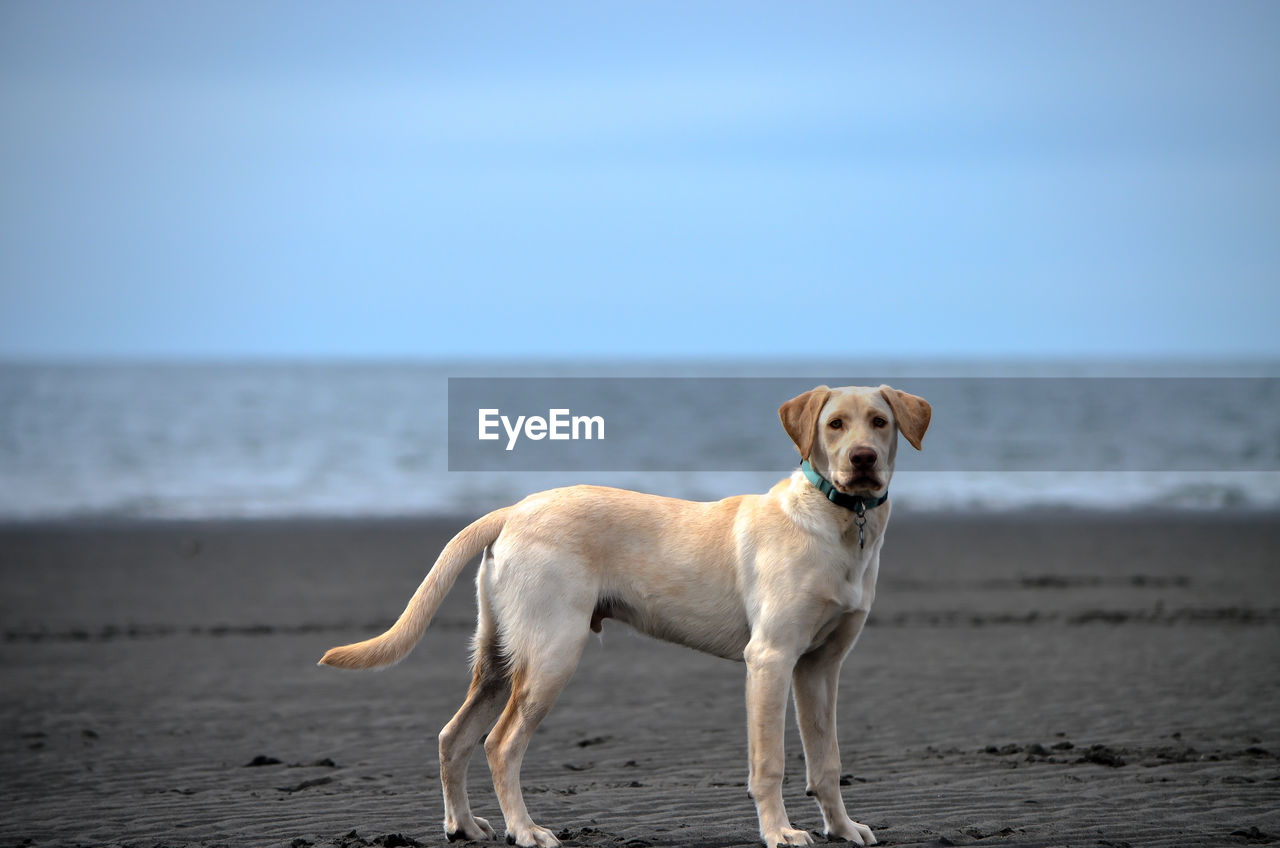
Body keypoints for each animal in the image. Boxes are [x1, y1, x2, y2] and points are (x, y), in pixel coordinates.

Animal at [320, 386, 931, 848]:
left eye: (879, 422)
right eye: (834, 425)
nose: (862, 459)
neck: (838, 521)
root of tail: (512, 510)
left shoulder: (820, 668)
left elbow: (826, 761)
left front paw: (843, 829)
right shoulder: (771, 659)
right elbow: (769, 763)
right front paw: (780, 833)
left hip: (499, 657)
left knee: (454, 737)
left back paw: (464, 827)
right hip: (552, 654)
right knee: (500, 745)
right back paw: (527, 831)